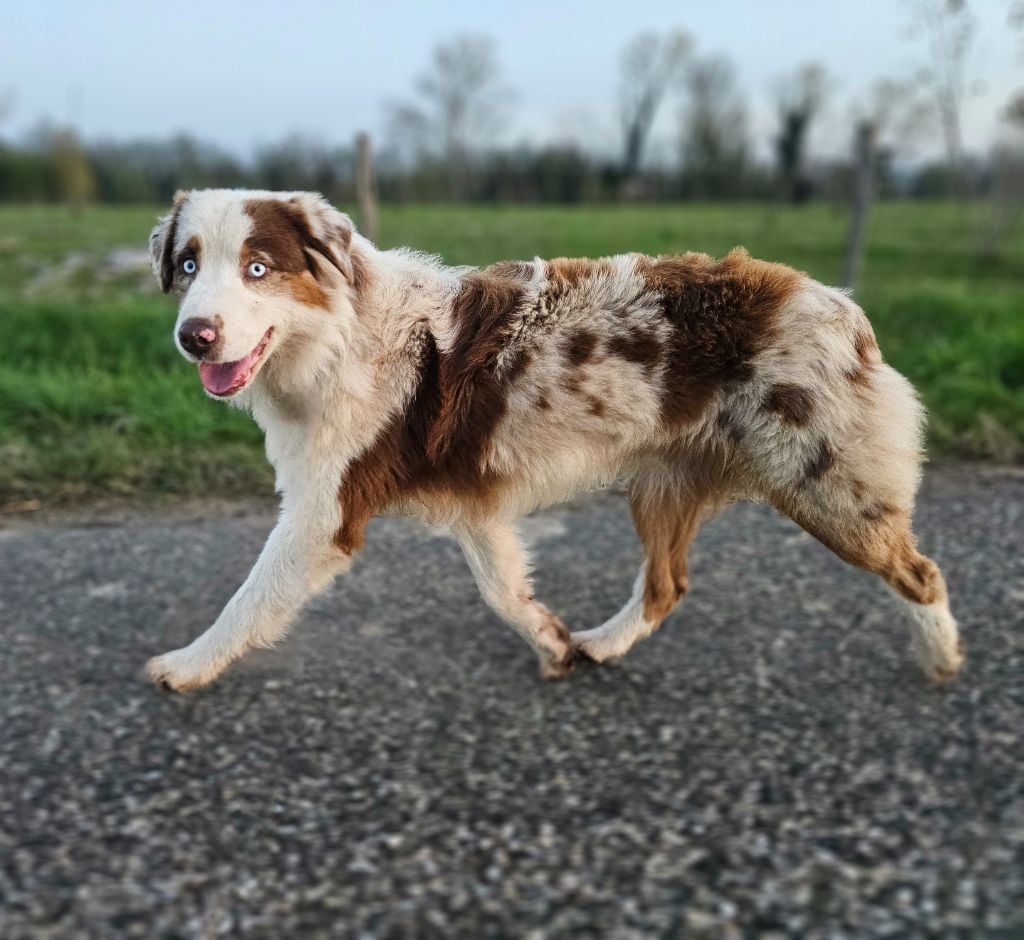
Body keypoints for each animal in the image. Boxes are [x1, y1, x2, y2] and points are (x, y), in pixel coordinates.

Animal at [144, 189, 958, 692]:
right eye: (188, 264)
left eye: (258, 268)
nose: (194, 336)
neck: (336, 335)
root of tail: (839, 305)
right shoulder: (472, 502)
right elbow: (504, 588)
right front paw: (552, 642)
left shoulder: (324, 511)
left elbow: (251, 596)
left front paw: (187, 664)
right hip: (665, 482)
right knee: (666, 585)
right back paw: (602, 641)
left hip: (826, 482)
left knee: (920, 570)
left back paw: (942, 655)